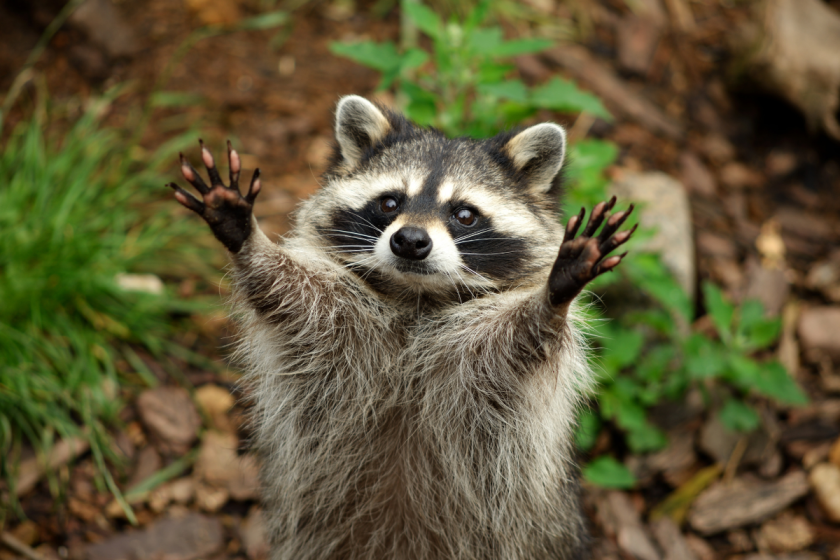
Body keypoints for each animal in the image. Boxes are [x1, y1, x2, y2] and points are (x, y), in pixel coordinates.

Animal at [169, 97, 632, 560]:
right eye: (390, 203)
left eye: (464, 214)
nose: (409, 240)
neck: (416, 297)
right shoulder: (335, 321)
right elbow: (288, 294)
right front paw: (248, 241)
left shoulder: (483, 359)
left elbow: (520, 340)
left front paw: (553, 298)